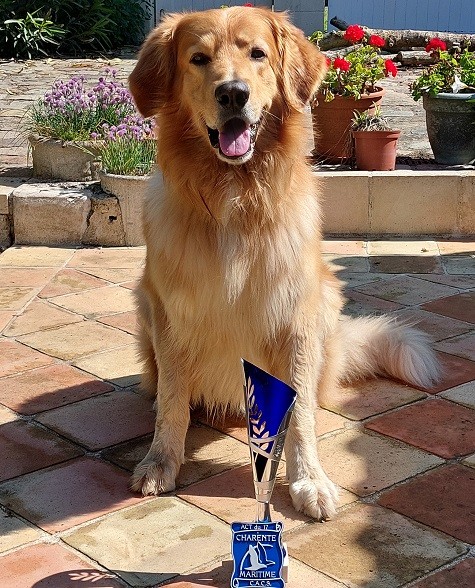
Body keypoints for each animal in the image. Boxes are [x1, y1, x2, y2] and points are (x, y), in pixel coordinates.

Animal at [128, 5, 440, 520]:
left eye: (257, 54)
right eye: (198, 58)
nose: (232, 93)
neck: (234, 197)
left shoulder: (296, 320)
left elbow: (301, 419)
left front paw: (308, 480)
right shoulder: (171, 314)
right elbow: (172, 399)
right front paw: (160, 461)